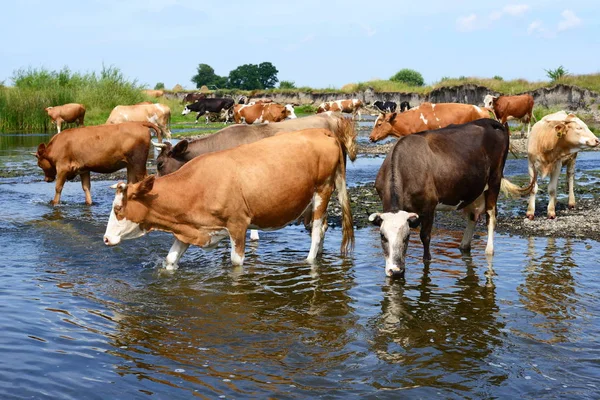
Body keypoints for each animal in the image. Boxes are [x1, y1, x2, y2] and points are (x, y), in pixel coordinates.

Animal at [104, 128, 356, 270]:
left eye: (118, 209)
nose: (105, 239)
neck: (198, 186)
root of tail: (322, 131)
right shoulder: (190, 228)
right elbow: (170, 260)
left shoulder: (237, 225)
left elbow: (236, 264)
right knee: (322, 227)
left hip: (323, 190)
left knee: (316, 230)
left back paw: (310, 261)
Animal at [368, 117, 532, 276]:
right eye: (382, 236)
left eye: (406, 236)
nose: (396, 271)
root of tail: (491, 122)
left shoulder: (429, 206)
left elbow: (425, 237)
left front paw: (426, 261)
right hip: (473, 186)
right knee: (473, 215)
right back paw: (464, 246)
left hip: (494, 180)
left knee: (491, 215)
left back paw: (489, 250)